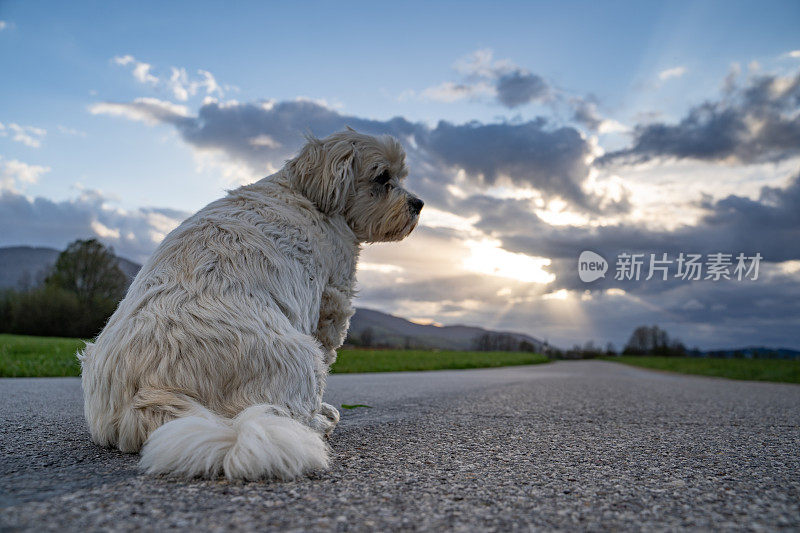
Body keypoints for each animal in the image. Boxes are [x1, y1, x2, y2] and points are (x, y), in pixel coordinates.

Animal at [78, 129, 422, 478]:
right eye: (383, 177)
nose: (418, 203)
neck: (304, 192)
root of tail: (150, 396)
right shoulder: (333, 300)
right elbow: (328, 358)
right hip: (301, 354)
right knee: (294, 410)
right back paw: (319, 421)